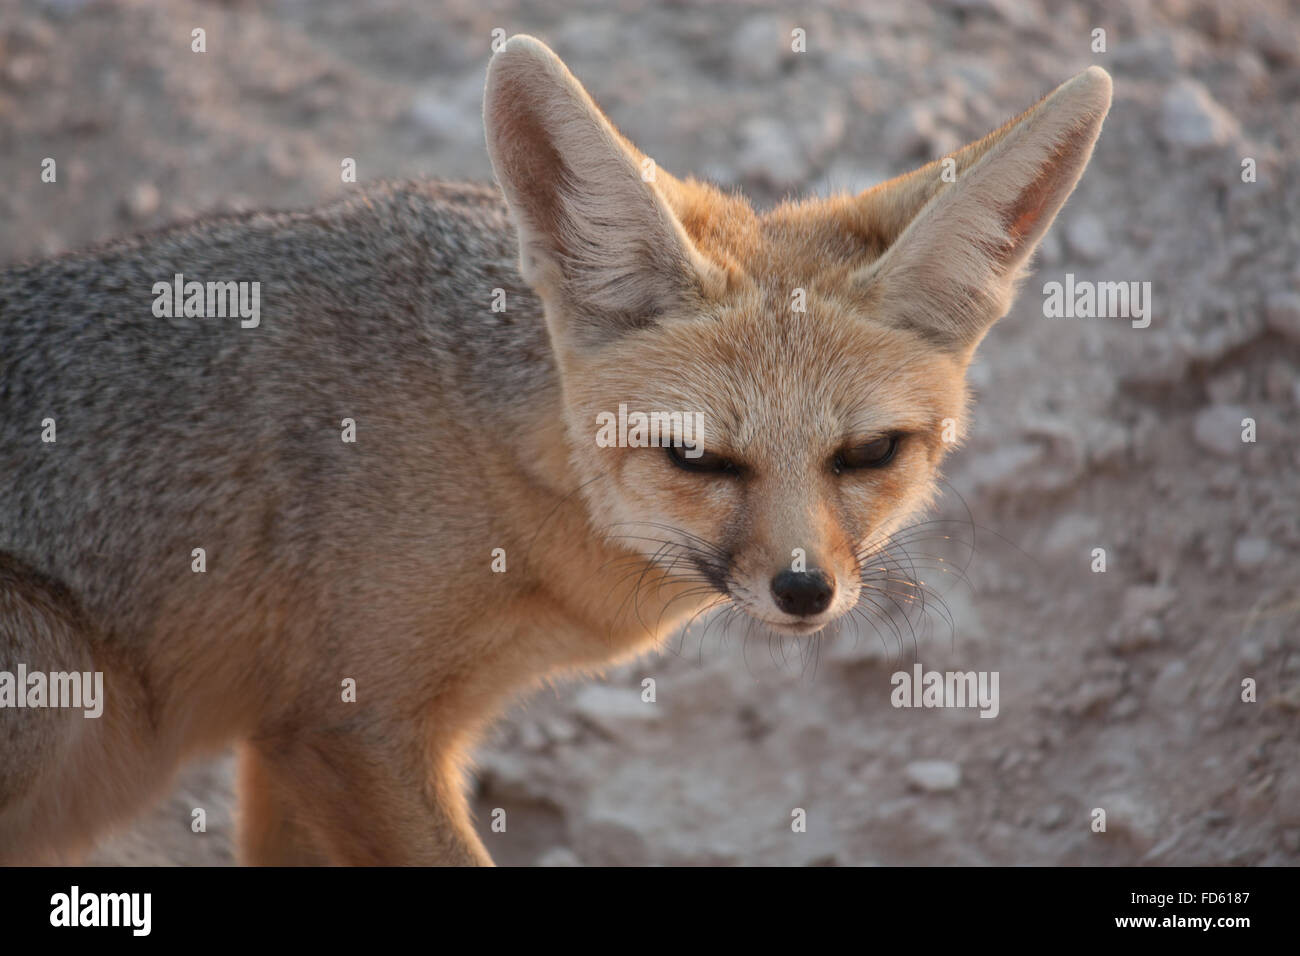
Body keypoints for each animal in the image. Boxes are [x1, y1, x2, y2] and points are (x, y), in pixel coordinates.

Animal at [0, 35, 1111, 865]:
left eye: (869, 451)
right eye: (696, 458)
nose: (805, 590)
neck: (497, 460)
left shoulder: (298, 744)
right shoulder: (346, 732)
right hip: (58, 664)